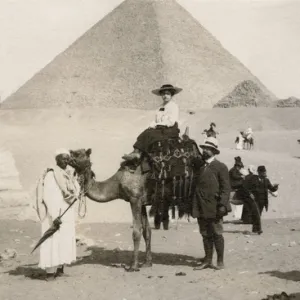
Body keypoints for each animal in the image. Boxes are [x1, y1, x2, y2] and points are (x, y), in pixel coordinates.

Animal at [68, 138, 199, 272]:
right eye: (72, 152)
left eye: (77, 153)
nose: (66, 156)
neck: (118, 183)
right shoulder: (141, 202)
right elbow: (147, 231)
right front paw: (147, 263)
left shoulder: (134, 199)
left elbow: (136, 232)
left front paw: (133, 266)